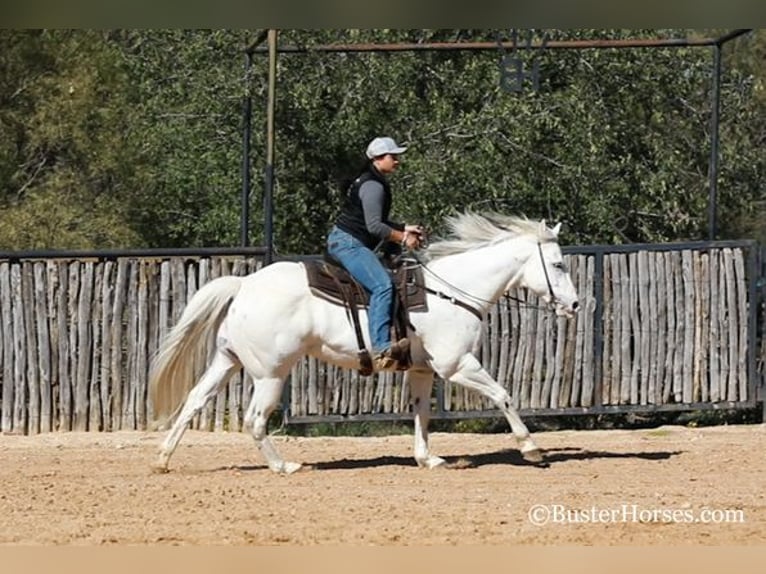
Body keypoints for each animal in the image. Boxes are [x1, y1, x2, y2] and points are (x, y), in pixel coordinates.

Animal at [150, 214, 580, 474]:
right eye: (558, 264)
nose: (575, 304)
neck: (452, 291)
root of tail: (243, 285)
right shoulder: (458, 365)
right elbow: (503, 395)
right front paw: (531, 448)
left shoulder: (422, 370)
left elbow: (422, 413)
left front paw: (428, 458)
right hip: (270, 374)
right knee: (254, 420)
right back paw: (284, 466)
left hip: (227, 361)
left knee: (193, 401)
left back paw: (163, 459)